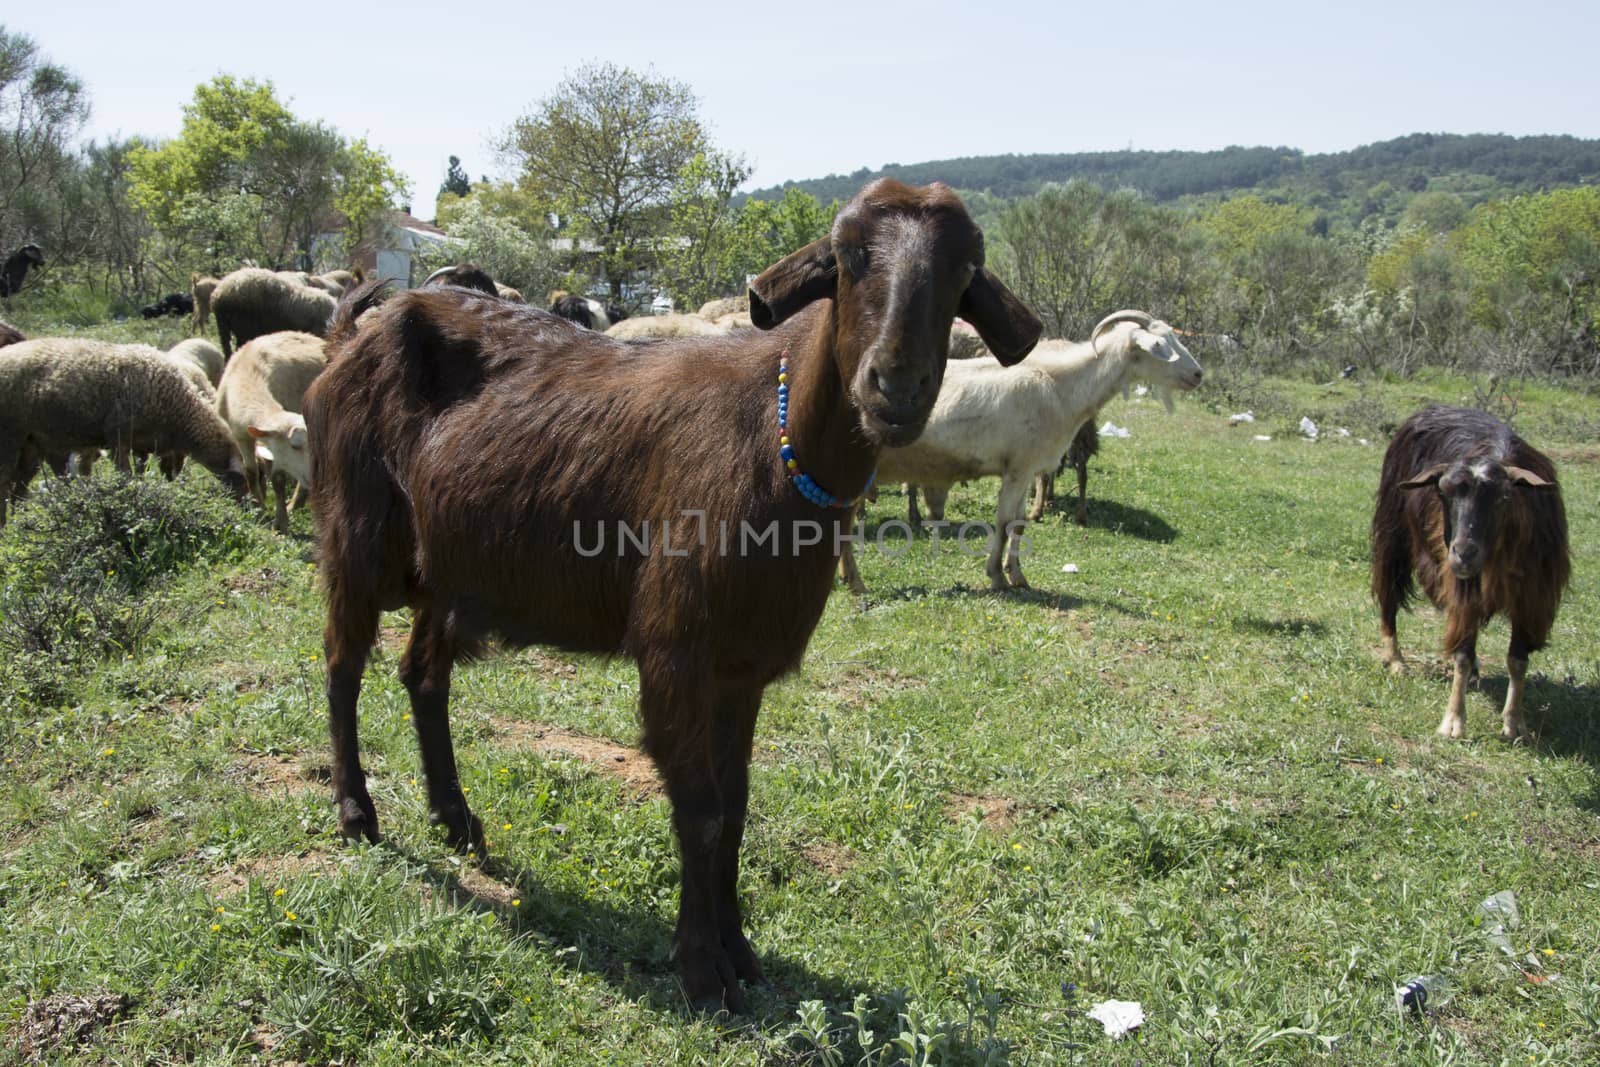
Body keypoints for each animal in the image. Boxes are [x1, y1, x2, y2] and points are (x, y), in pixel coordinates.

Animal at [0, 334, 246, 518]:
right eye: (243, 480)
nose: (249, 509)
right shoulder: (118, 437)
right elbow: (125, 476)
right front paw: (128, 501)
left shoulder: (143, 444)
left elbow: (144, 474)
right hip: (10, 438)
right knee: (5, 485)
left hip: (33, 445)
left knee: (19, 489)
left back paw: (20, 521)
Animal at [214, 331, 326, 531]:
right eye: (294, 446)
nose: (316, 478)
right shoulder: (242, 437)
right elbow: (251, 471)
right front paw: (259, 507)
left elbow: (278, 479)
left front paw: (280, 522)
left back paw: (294, 504)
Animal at [305, 177, 1043, 1011]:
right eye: (848, 253)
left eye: (965, 270)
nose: (897, 384)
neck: (773, 447)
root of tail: (350, 334)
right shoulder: (676, 649)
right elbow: (701, 808)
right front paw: (701, 967)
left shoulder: (743, 668)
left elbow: (737, 807)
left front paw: (741, 952)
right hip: (356, 532)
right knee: (341, 664)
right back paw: (356, 811)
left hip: (450, 570)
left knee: (422, 675)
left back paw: (456, 818)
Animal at [838, 308, 1203, 591]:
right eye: (1159, 345)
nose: (1198, 374)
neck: (1059, 387)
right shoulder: (1018, 468)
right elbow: (1002, 523)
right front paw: (997, 577)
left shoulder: (1026, 470)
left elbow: (1019, 523)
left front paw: (1017, 576)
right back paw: (856, 583)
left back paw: (847, 578)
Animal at [1369, 406, 1568, 742]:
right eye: (1442, 492)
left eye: (1504, 498)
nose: (1463, 554)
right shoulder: (1465, 591)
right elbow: (1461, 653)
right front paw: (1453, 722)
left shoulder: (1532, 600)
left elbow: (1518, 660)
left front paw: (1515, 723)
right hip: (1392, 537)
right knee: (1389, 596)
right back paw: (1396, 661)